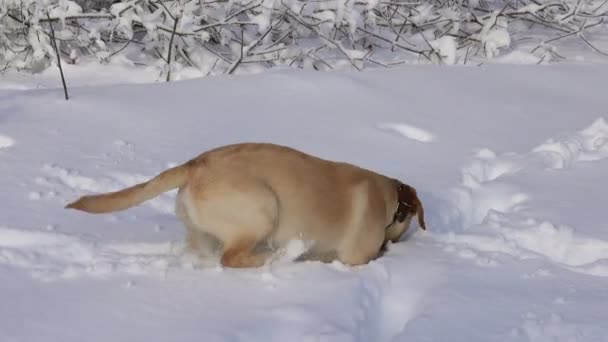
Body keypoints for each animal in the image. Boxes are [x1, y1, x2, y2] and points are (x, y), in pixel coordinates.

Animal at [66, 142, 426, 268]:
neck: (388, 197)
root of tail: (195, 164)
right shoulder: (356, 256)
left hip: (201, 231)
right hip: (263, 208)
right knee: (231, 258)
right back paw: (273, 258)